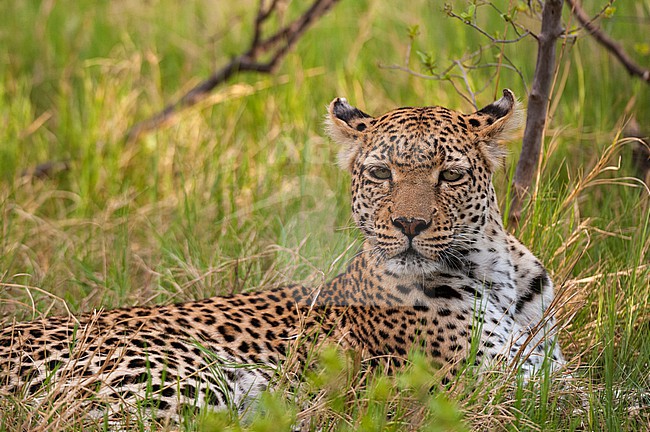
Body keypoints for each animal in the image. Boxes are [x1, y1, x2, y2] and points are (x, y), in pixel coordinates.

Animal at [0, 89, 564, 425]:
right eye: (380, 173)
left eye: (450, 175)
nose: (409, 225)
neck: (497, 274)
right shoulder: (487, 386)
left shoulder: (538, 368)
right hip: (179, 375)